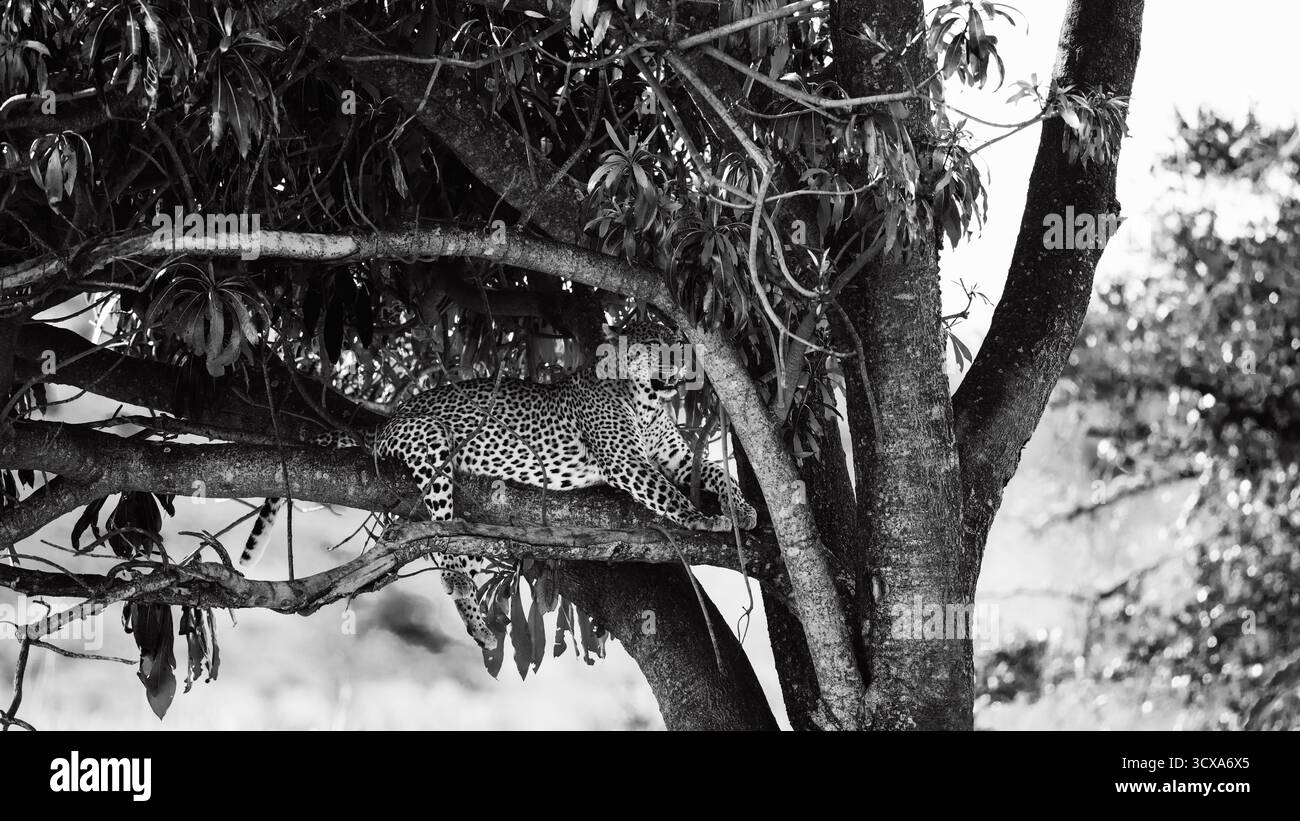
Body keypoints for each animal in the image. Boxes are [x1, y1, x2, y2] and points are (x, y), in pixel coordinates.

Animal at [240, 319, 759, 650]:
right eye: (653, 345)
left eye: (679, 344)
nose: (681, 364)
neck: (649, 401)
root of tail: (388, 419)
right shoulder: (625, 460)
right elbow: (666, 494)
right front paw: (701, 518)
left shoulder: (675, 457)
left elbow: (719, 473)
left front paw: (742, 509)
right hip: (431, 445)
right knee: (442, 543)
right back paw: (459, 587)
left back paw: (478, 624)